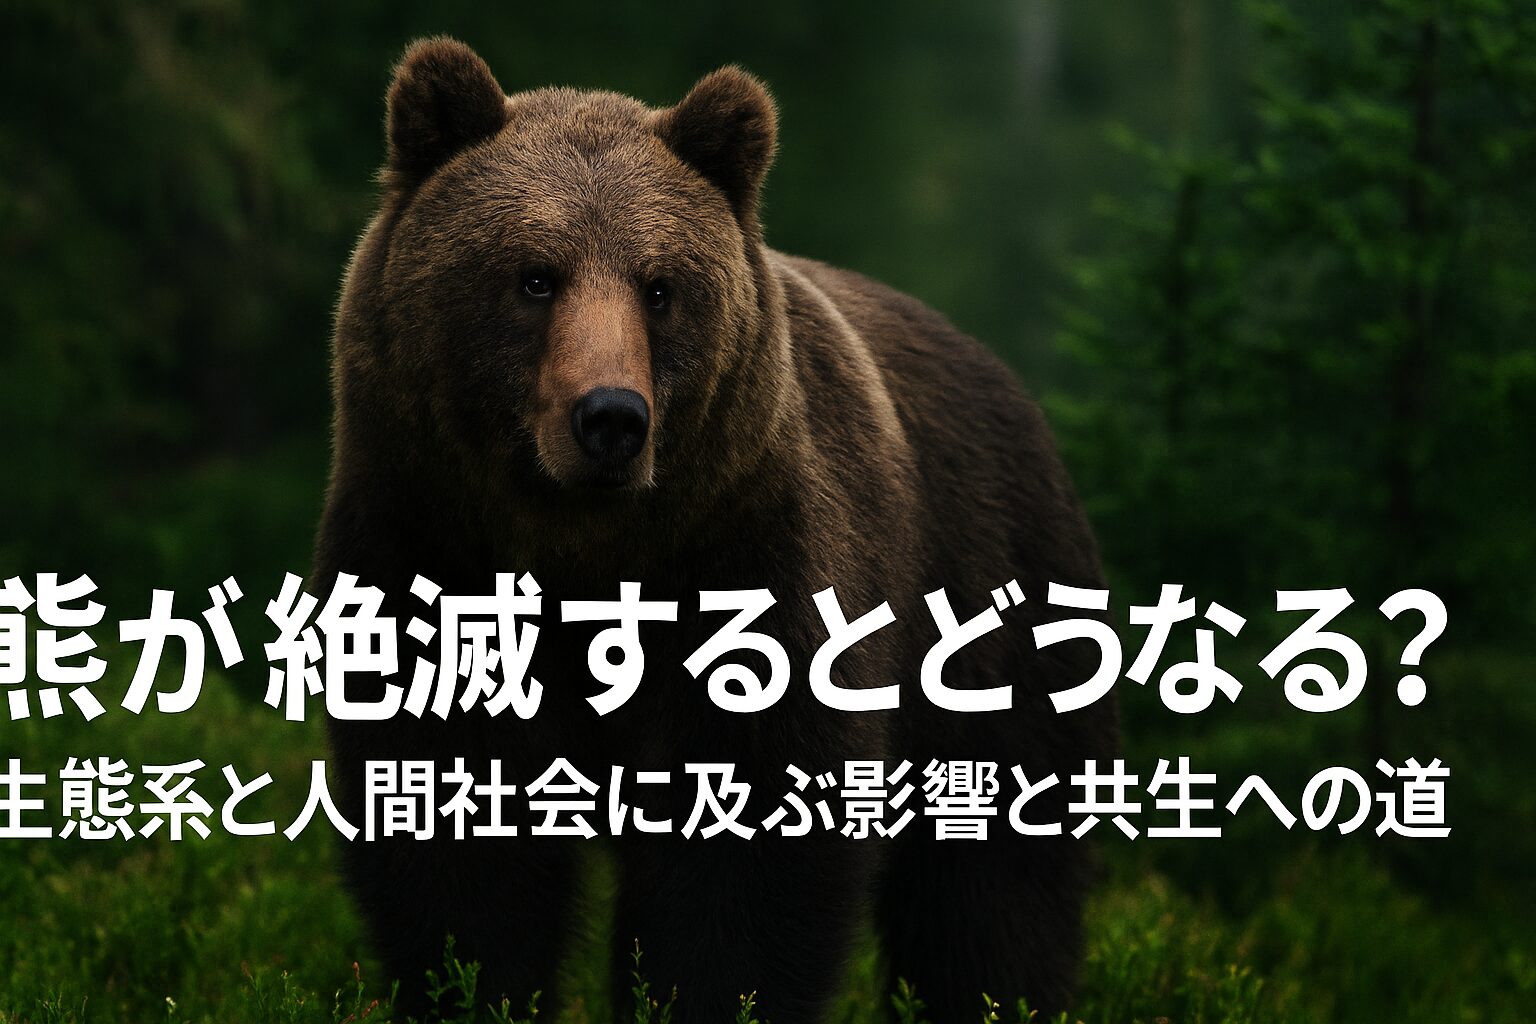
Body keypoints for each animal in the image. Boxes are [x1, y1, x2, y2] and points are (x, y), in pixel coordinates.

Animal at [315, 36, 1118, 1024]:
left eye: (660, 287)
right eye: (534, 275)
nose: (610, 418)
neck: (584, 551)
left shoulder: (750, 557)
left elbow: (745, 862)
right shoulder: (425, 546)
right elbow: (453, 837)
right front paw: (476, 988)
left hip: (993, 609)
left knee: (993, 885)